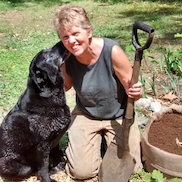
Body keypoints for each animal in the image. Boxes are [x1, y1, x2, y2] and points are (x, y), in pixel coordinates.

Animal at [0, 41, 70, 182]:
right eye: (47, 54)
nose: (62, 41)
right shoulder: (42, 146)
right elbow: (43, 167)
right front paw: (48, 179)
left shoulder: (55, 140)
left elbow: (55, 154)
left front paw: (58, 165)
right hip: (12, 165)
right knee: (30, 169)